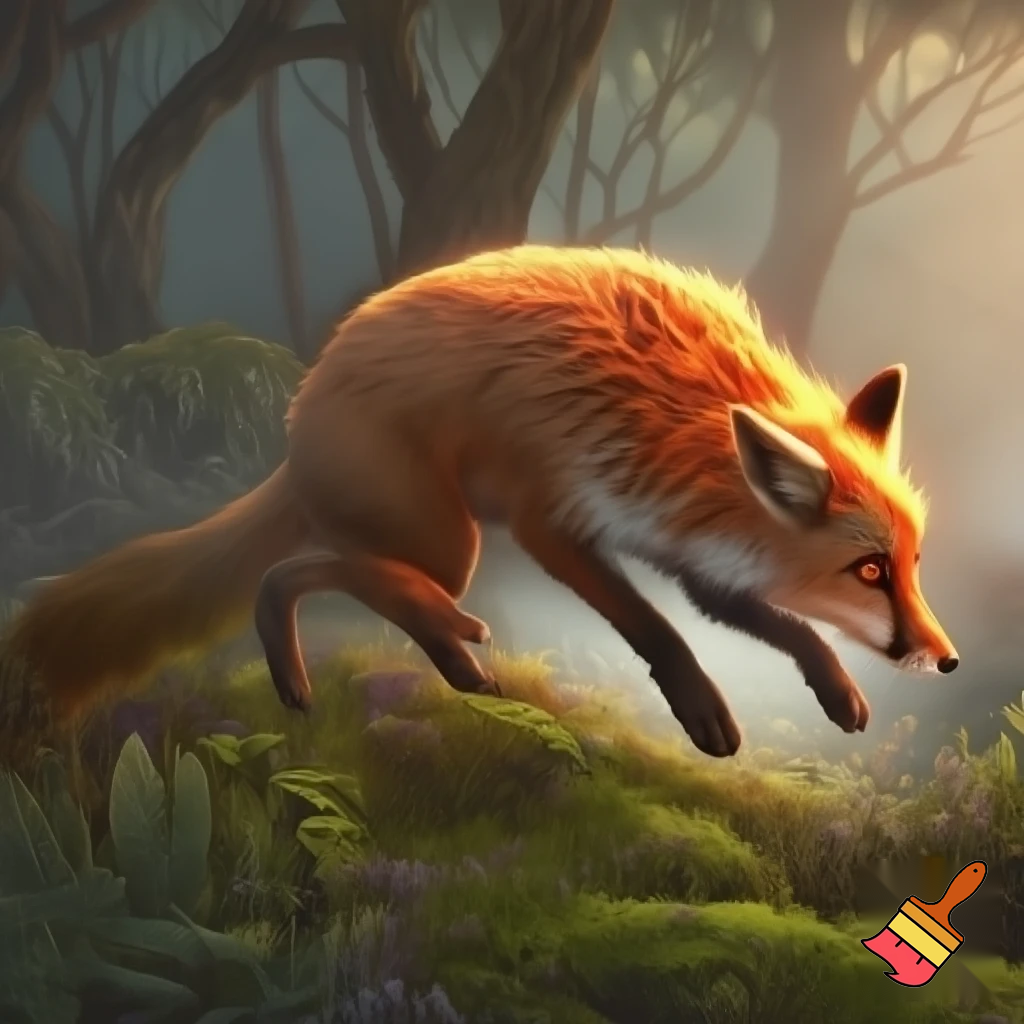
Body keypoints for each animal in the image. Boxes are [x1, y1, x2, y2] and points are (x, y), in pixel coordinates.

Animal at [3, 244, 958, 758]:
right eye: (868, 570)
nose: (946, 661)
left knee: (321, 578)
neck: (679, 424)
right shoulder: (554, 521)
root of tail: (301, 405)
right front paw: (704, 713)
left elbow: (785, 626)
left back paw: (445, 673)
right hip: (448, 538)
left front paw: (837, 691)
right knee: (316, 574)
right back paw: (416, 643)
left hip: (436, 539)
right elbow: (658, 631)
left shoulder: (693, 552)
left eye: (912, 566)